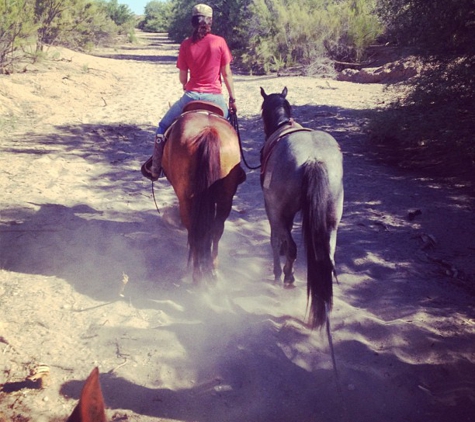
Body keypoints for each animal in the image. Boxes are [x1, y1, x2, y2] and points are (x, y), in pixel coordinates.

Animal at [163, 103, 245, 284]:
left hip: (186, 199)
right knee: (216, 228)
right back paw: (212, 269)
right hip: (225, 199)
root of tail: (209, 132)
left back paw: (197, 275)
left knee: (194, 231)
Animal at [260, 86, 346, 330]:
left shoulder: (274, 210)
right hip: (332, 219)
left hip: (280, 210)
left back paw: (287, 277)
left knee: (291, 246)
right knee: (328, 255)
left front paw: (277, 273)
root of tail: (313, 159)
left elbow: (277, 239)